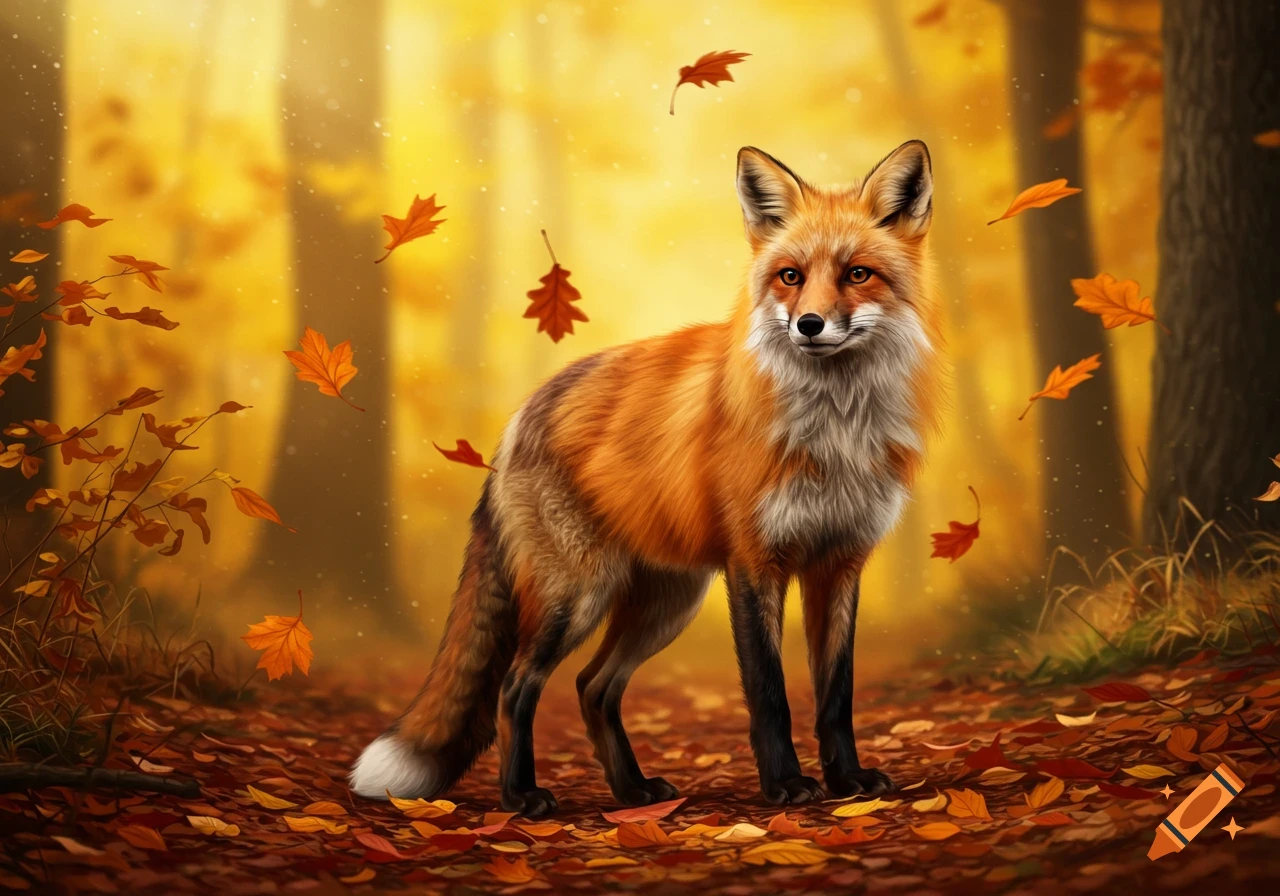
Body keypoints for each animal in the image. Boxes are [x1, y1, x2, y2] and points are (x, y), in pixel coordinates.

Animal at [350, 140, 944, 817]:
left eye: (857, 274)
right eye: (790, 276)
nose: (810, 324)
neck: (834, 432)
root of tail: (524, 413)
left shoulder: (840, 563)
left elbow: (836, 696)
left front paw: (847, 782)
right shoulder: (754, 562)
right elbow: (768, 692)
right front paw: (786, 786)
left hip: (666, 603)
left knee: (592, 686)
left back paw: (631, 791)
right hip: (578, 596)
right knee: (515, 687)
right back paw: (521, 795)